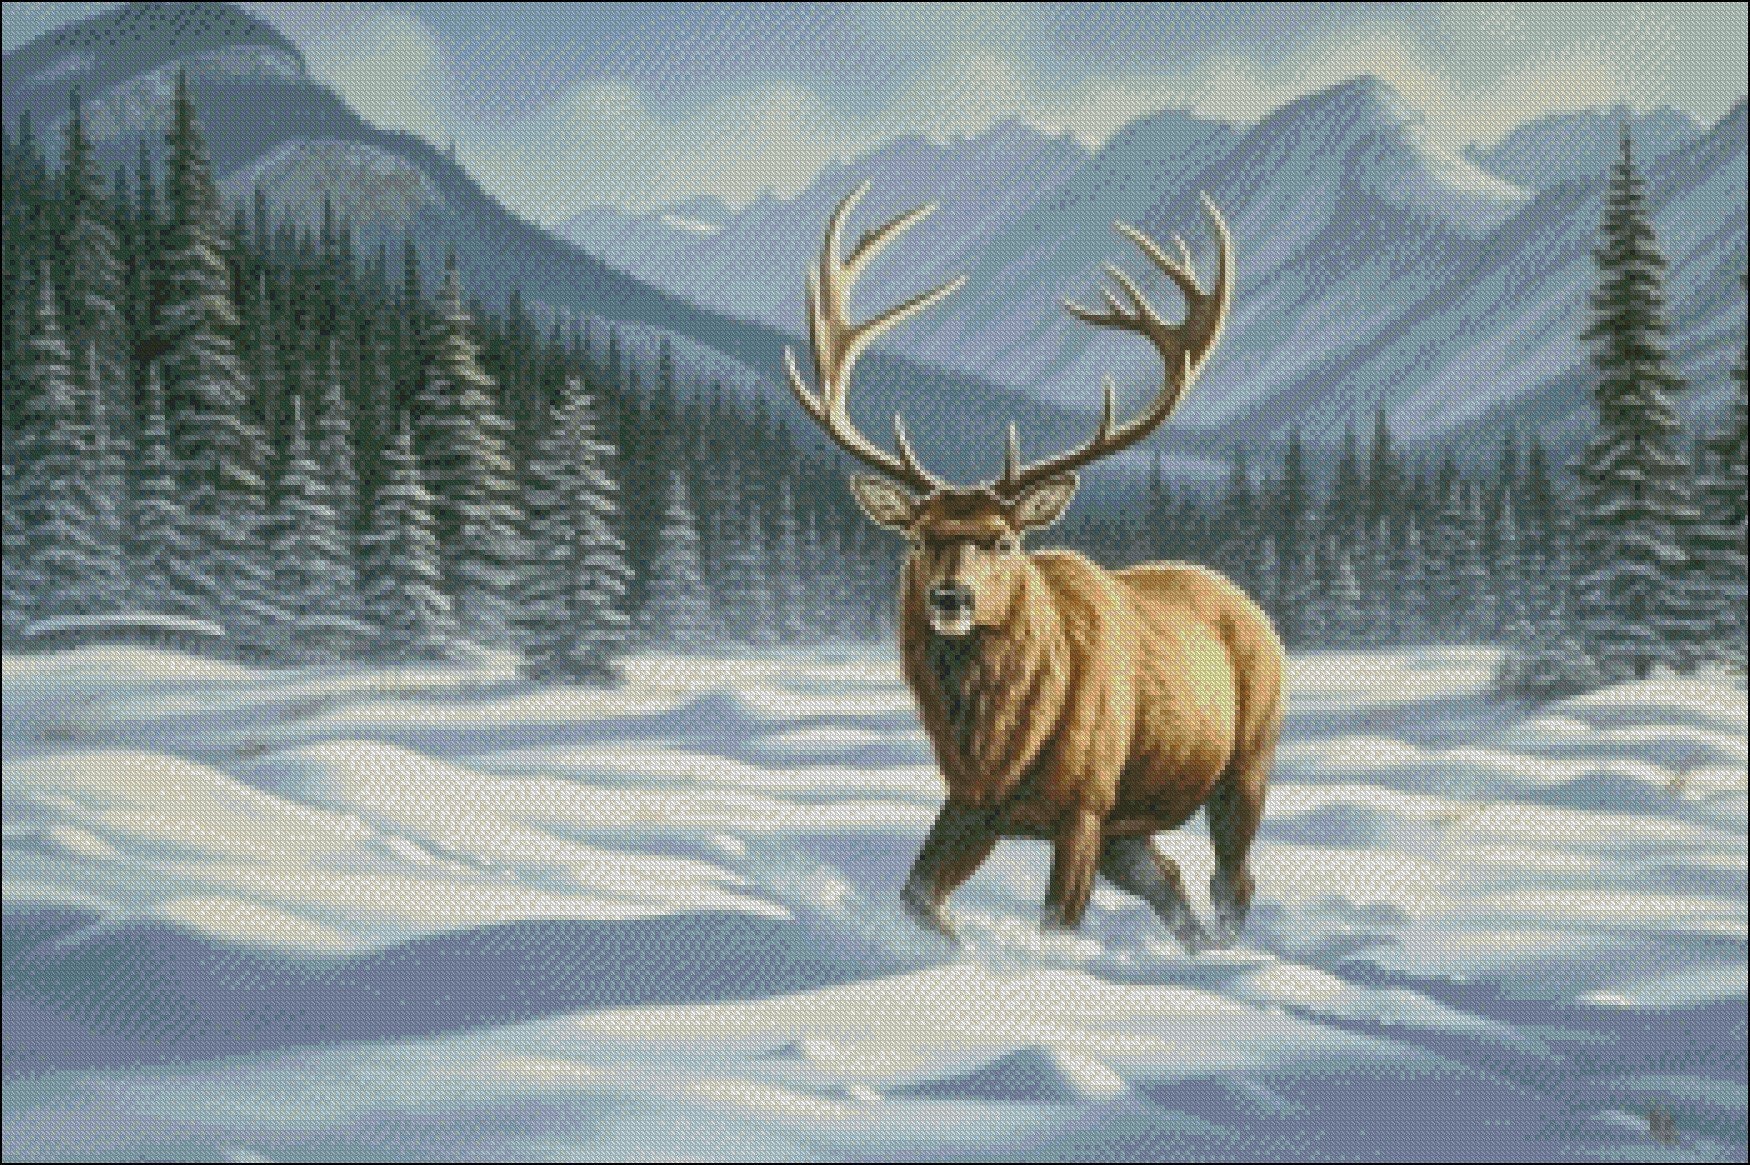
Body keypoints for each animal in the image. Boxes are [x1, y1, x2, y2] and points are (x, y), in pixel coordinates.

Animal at [783, 182, 1284, 952]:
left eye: (1004, 539)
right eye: (917, 537)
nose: (950, 598)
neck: (998, 741)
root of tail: (1253, 606)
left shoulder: (1084, 800)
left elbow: (1058, 923)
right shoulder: (973, 800)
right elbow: (916, 896)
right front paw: (955, 949)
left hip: (1245, 760)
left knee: (1231, 879)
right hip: (1130, 822)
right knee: (1166, 876)